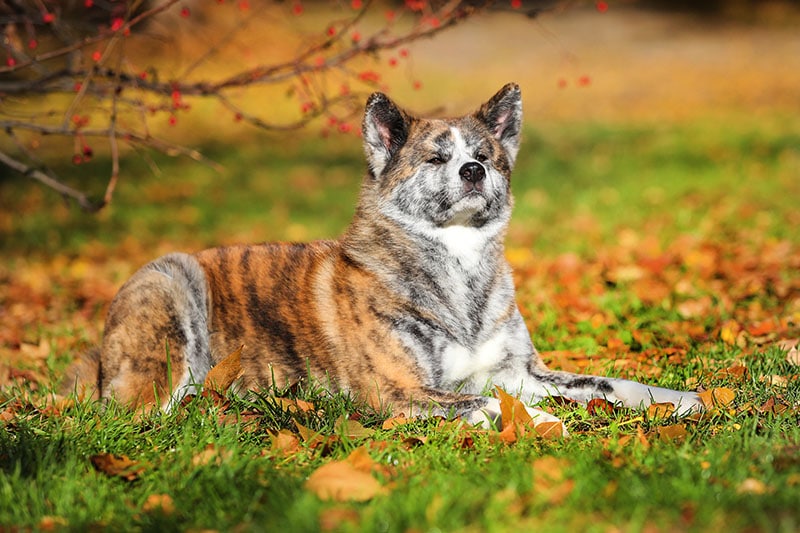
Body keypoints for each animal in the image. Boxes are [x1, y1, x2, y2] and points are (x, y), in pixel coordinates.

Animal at [65, 84, 704, 432]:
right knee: (151, 409)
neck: (458, 266)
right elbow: (480, 404)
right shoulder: (396, 390)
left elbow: (608, 384)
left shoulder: (520, 373)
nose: (474, 170)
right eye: (435, 158)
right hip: (169, 284)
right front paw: (543, 423)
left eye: (485, 154)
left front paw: (678, 400)